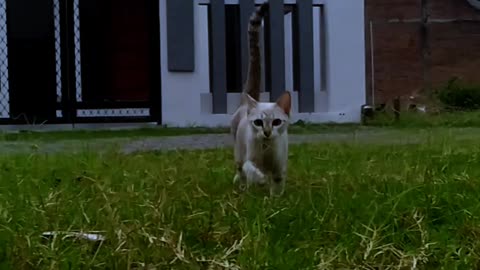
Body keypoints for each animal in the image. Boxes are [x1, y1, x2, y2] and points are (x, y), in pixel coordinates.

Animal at [230, 2, 290, 196]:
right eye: (258, 122)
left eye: (277, 122)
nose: (267, 132)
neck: (267, 151)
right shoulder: (249, 160)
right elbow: (252, 170)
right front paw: (260, 181)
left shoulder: (280, 168)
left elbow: (277, 184)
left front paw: (276, 200)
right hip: (238, 153)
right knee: (241, 171)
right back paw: (243, 187)